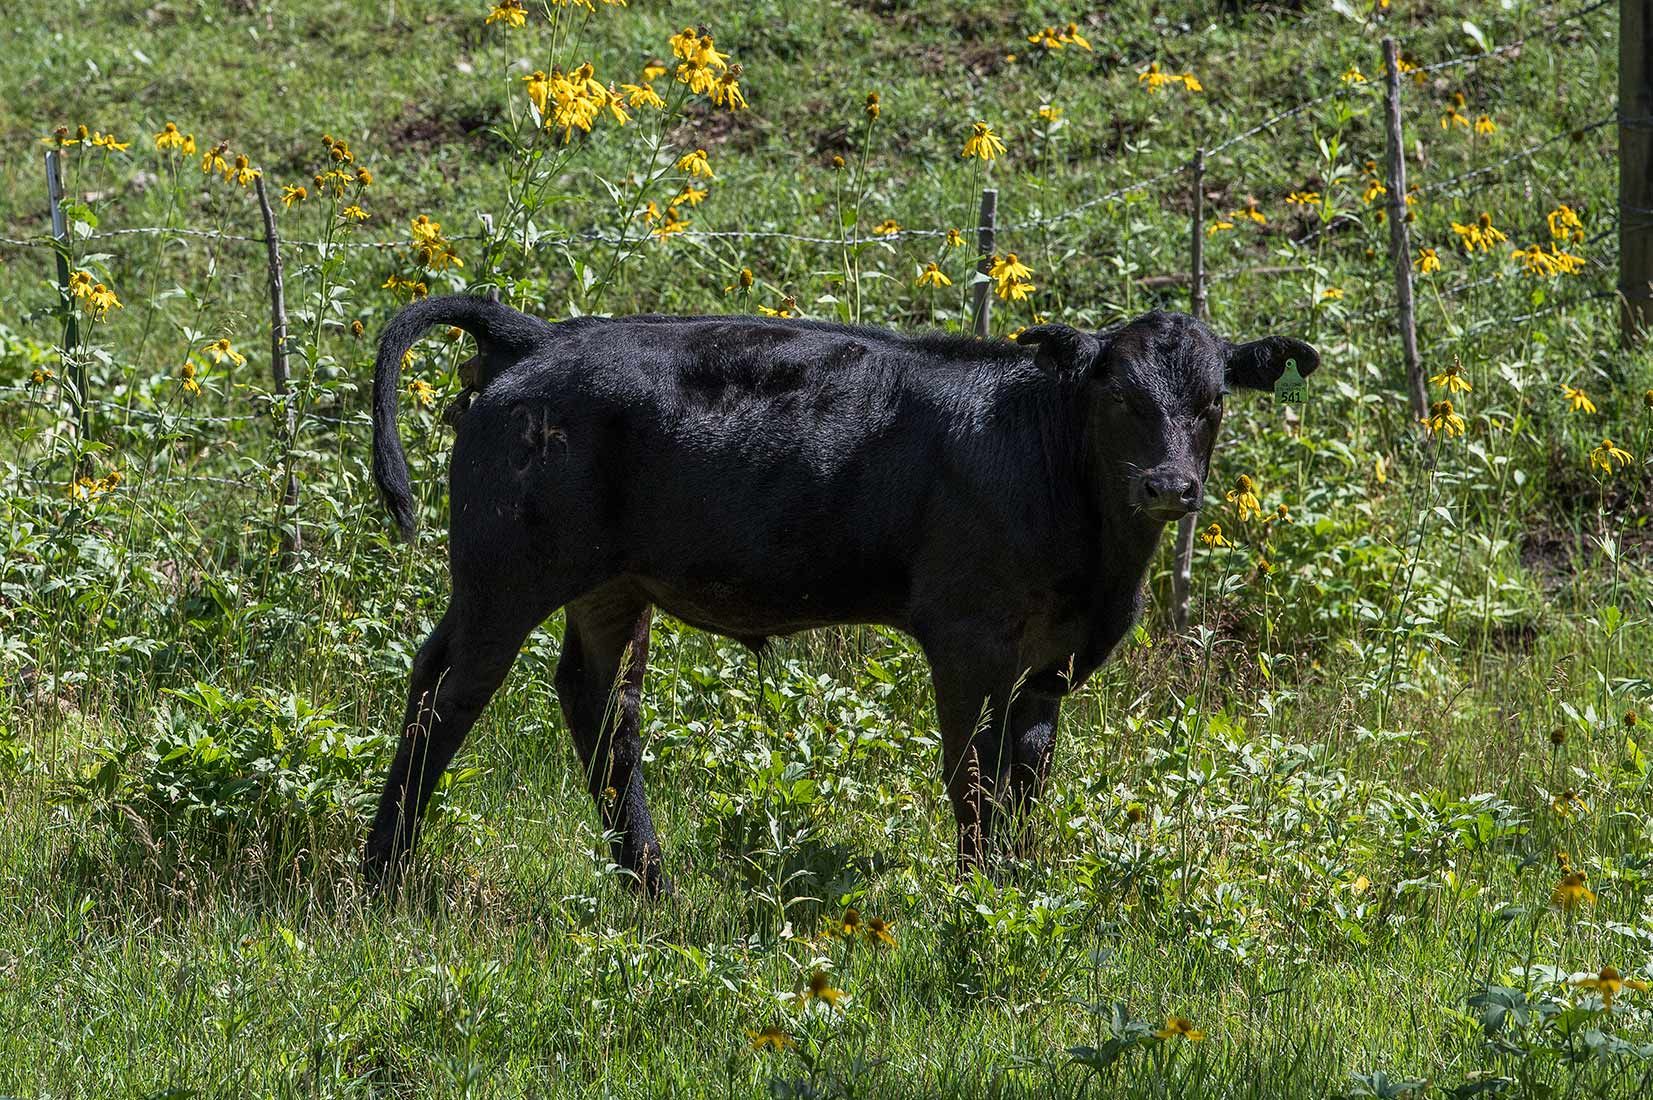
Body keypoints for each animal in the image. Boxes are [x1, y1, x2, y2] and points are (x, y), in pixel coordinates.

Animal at [363, 295, 1318, 895]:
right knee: (446, 696)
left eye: (1213, 400)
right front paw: (976, 902)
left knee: (598, 709)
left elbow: (1026, 777)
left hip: (608, 584)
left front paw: (1018, 889)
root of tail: (539, 333)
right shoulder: (968, 638)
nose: (1168, 485)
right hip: (504, 575)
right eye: (1118, 395)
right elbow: (971, 776)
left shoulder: (1054, 659)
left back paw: (650, 886)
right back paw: (383, 877)